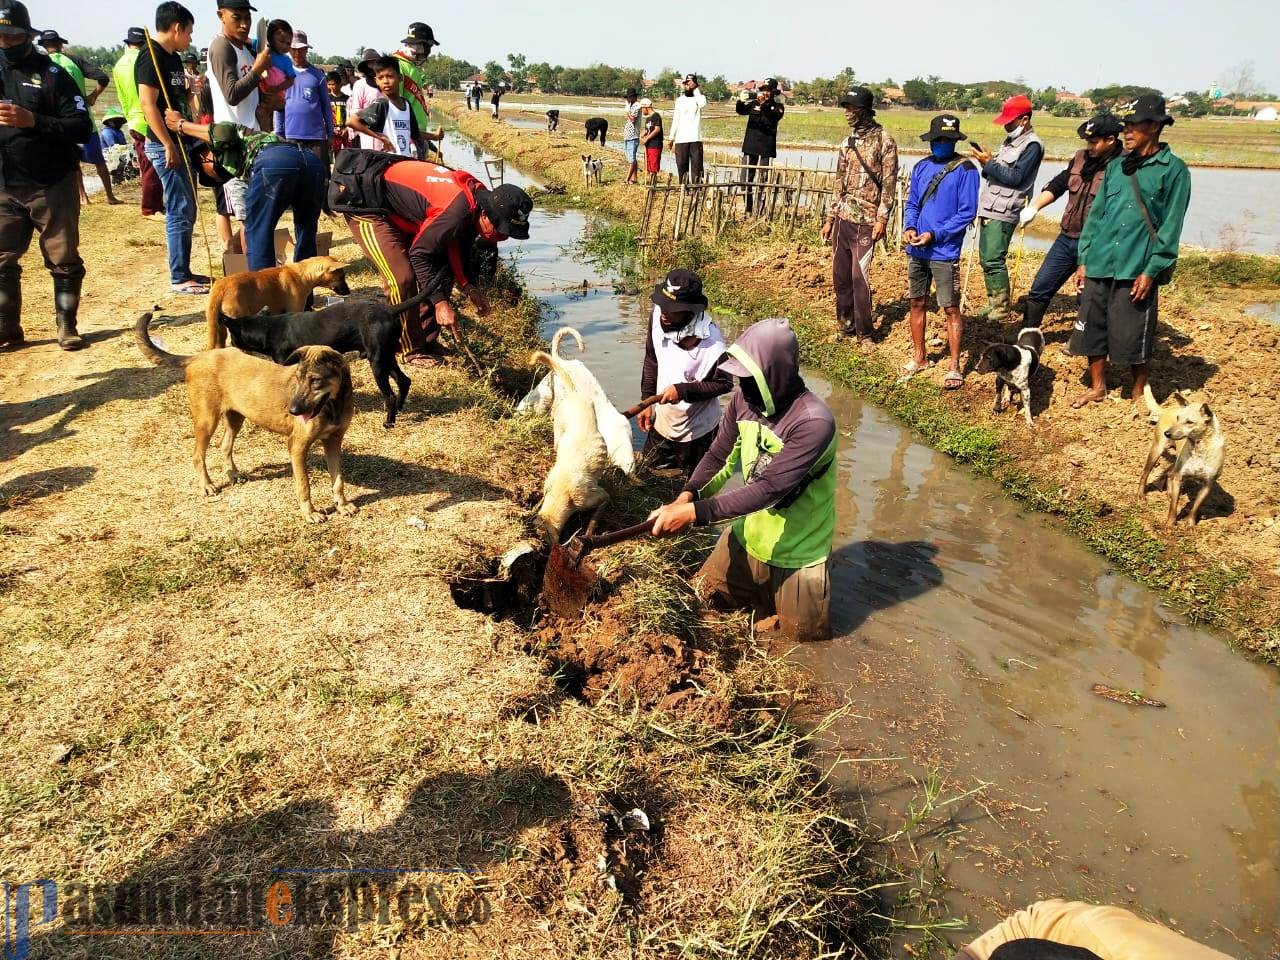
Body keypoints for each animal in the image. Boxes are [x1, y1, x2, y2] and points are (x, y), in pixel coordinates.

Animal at [136, 313, 358, 527]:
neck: (334, 404)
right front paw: (310, 513)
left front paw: (342, 505)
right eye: (297, 378)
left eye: (315, 380)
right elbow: (304, 485)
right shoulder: (297, 446)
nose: (293, 410)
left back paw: (233, 474)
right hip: (207, 420)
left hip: (235, 417)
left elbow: (338, 480)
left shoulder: (333, 441)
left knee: (224, 445)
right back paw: (207, 485)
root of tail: (199, 357)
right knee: (198, 455)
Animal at [207, 257, 353, 350]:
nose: (349, 292)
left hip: (219, 327)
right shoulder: (295, 309)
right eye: (341, 277)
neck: (302, 274)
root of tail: (220, 287)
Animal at [220, 288, 435, 430]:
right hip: (386, 357)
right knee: (404, 381)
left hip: (378, 361)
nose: (229, 347)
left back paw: (389, 421)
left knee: (390, 394)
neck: (268, 328)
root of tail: (389, 310)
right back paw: (399, 409)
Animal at [1146, 384, 1223, 527]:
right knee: (1145, 473)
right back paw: (1140, 495)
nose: (1167, 433)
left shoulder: (1207, 485)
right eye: (1178, 418)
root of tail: (1169, 408)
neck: (1200, 449)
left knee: (1169, 473)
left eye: (1189, 422)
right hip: (1157, 450)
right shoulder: (1179, 477)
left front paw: (1190, 524)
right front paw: (1170, 524)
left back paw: (1169, 493)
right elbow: (1173, 506)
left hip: (1176, 462)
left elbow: (1196, 507)